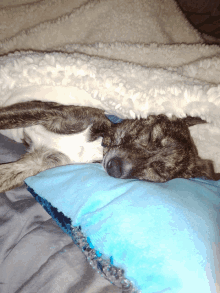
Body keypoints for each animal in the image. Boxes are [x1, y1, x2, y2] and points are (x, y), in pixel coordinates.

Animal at [0, 99, 218, 193]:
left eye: (158, 170)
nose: (115, 168)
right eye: (150, 136)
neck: (97, 145)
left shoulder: (40, 161)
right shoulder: (50, 111)